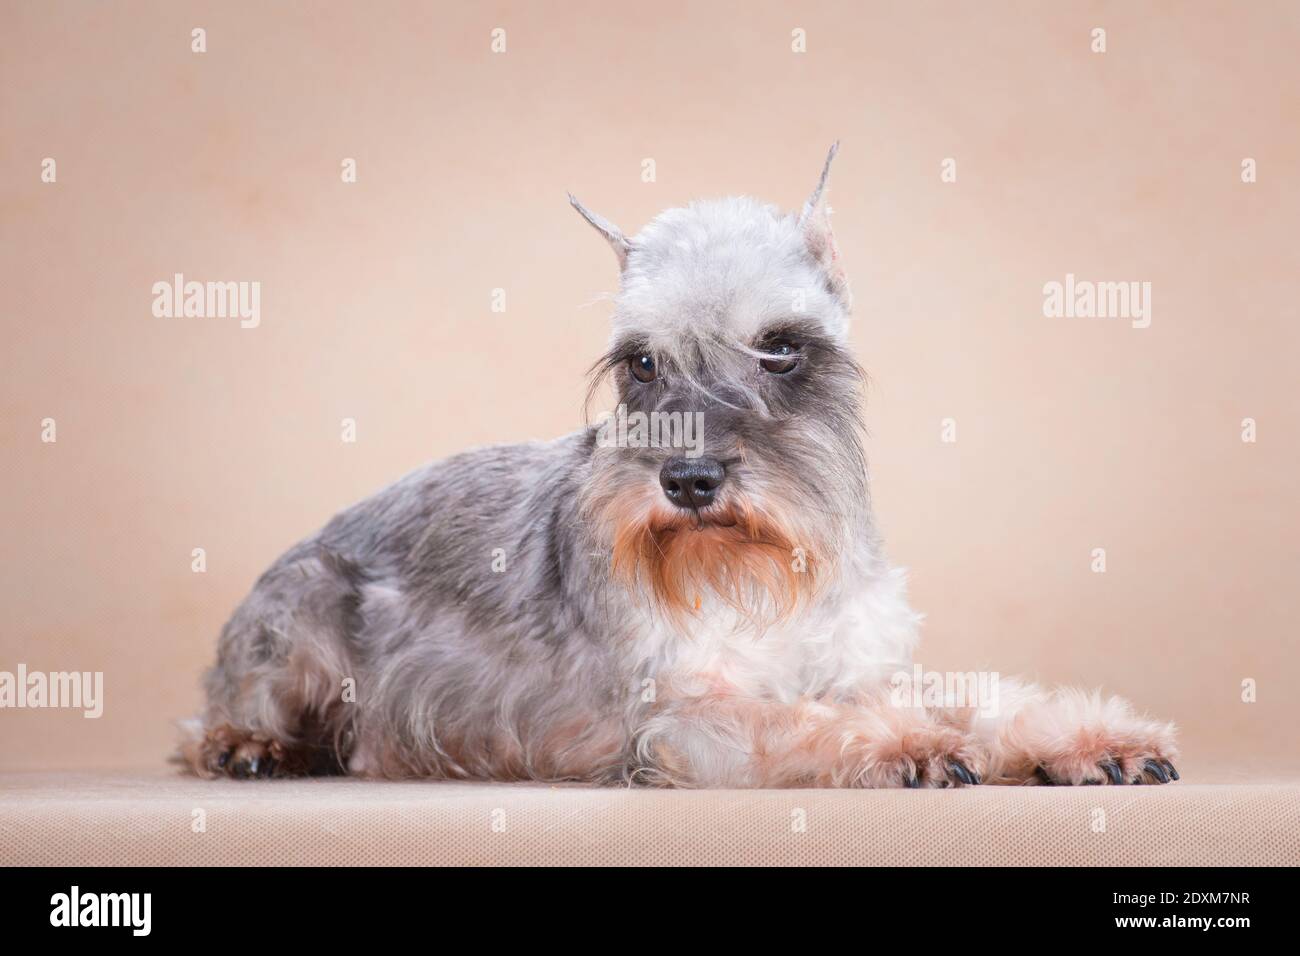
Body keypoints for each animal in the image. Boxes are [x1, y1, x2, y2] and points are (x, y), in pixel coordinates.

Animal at [183, 145, 1180, 790]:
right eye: (641, 362)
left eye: (781, 347)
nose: (690, 482)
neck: (763, 573)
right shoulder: (693, 720)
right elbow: (812, 720)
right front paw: (912, 746)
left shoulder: (862, 663)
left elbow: (982, 697)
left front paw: (1097, 737)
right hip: (302, 617)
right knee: (215, 719)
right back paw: (252, 748)